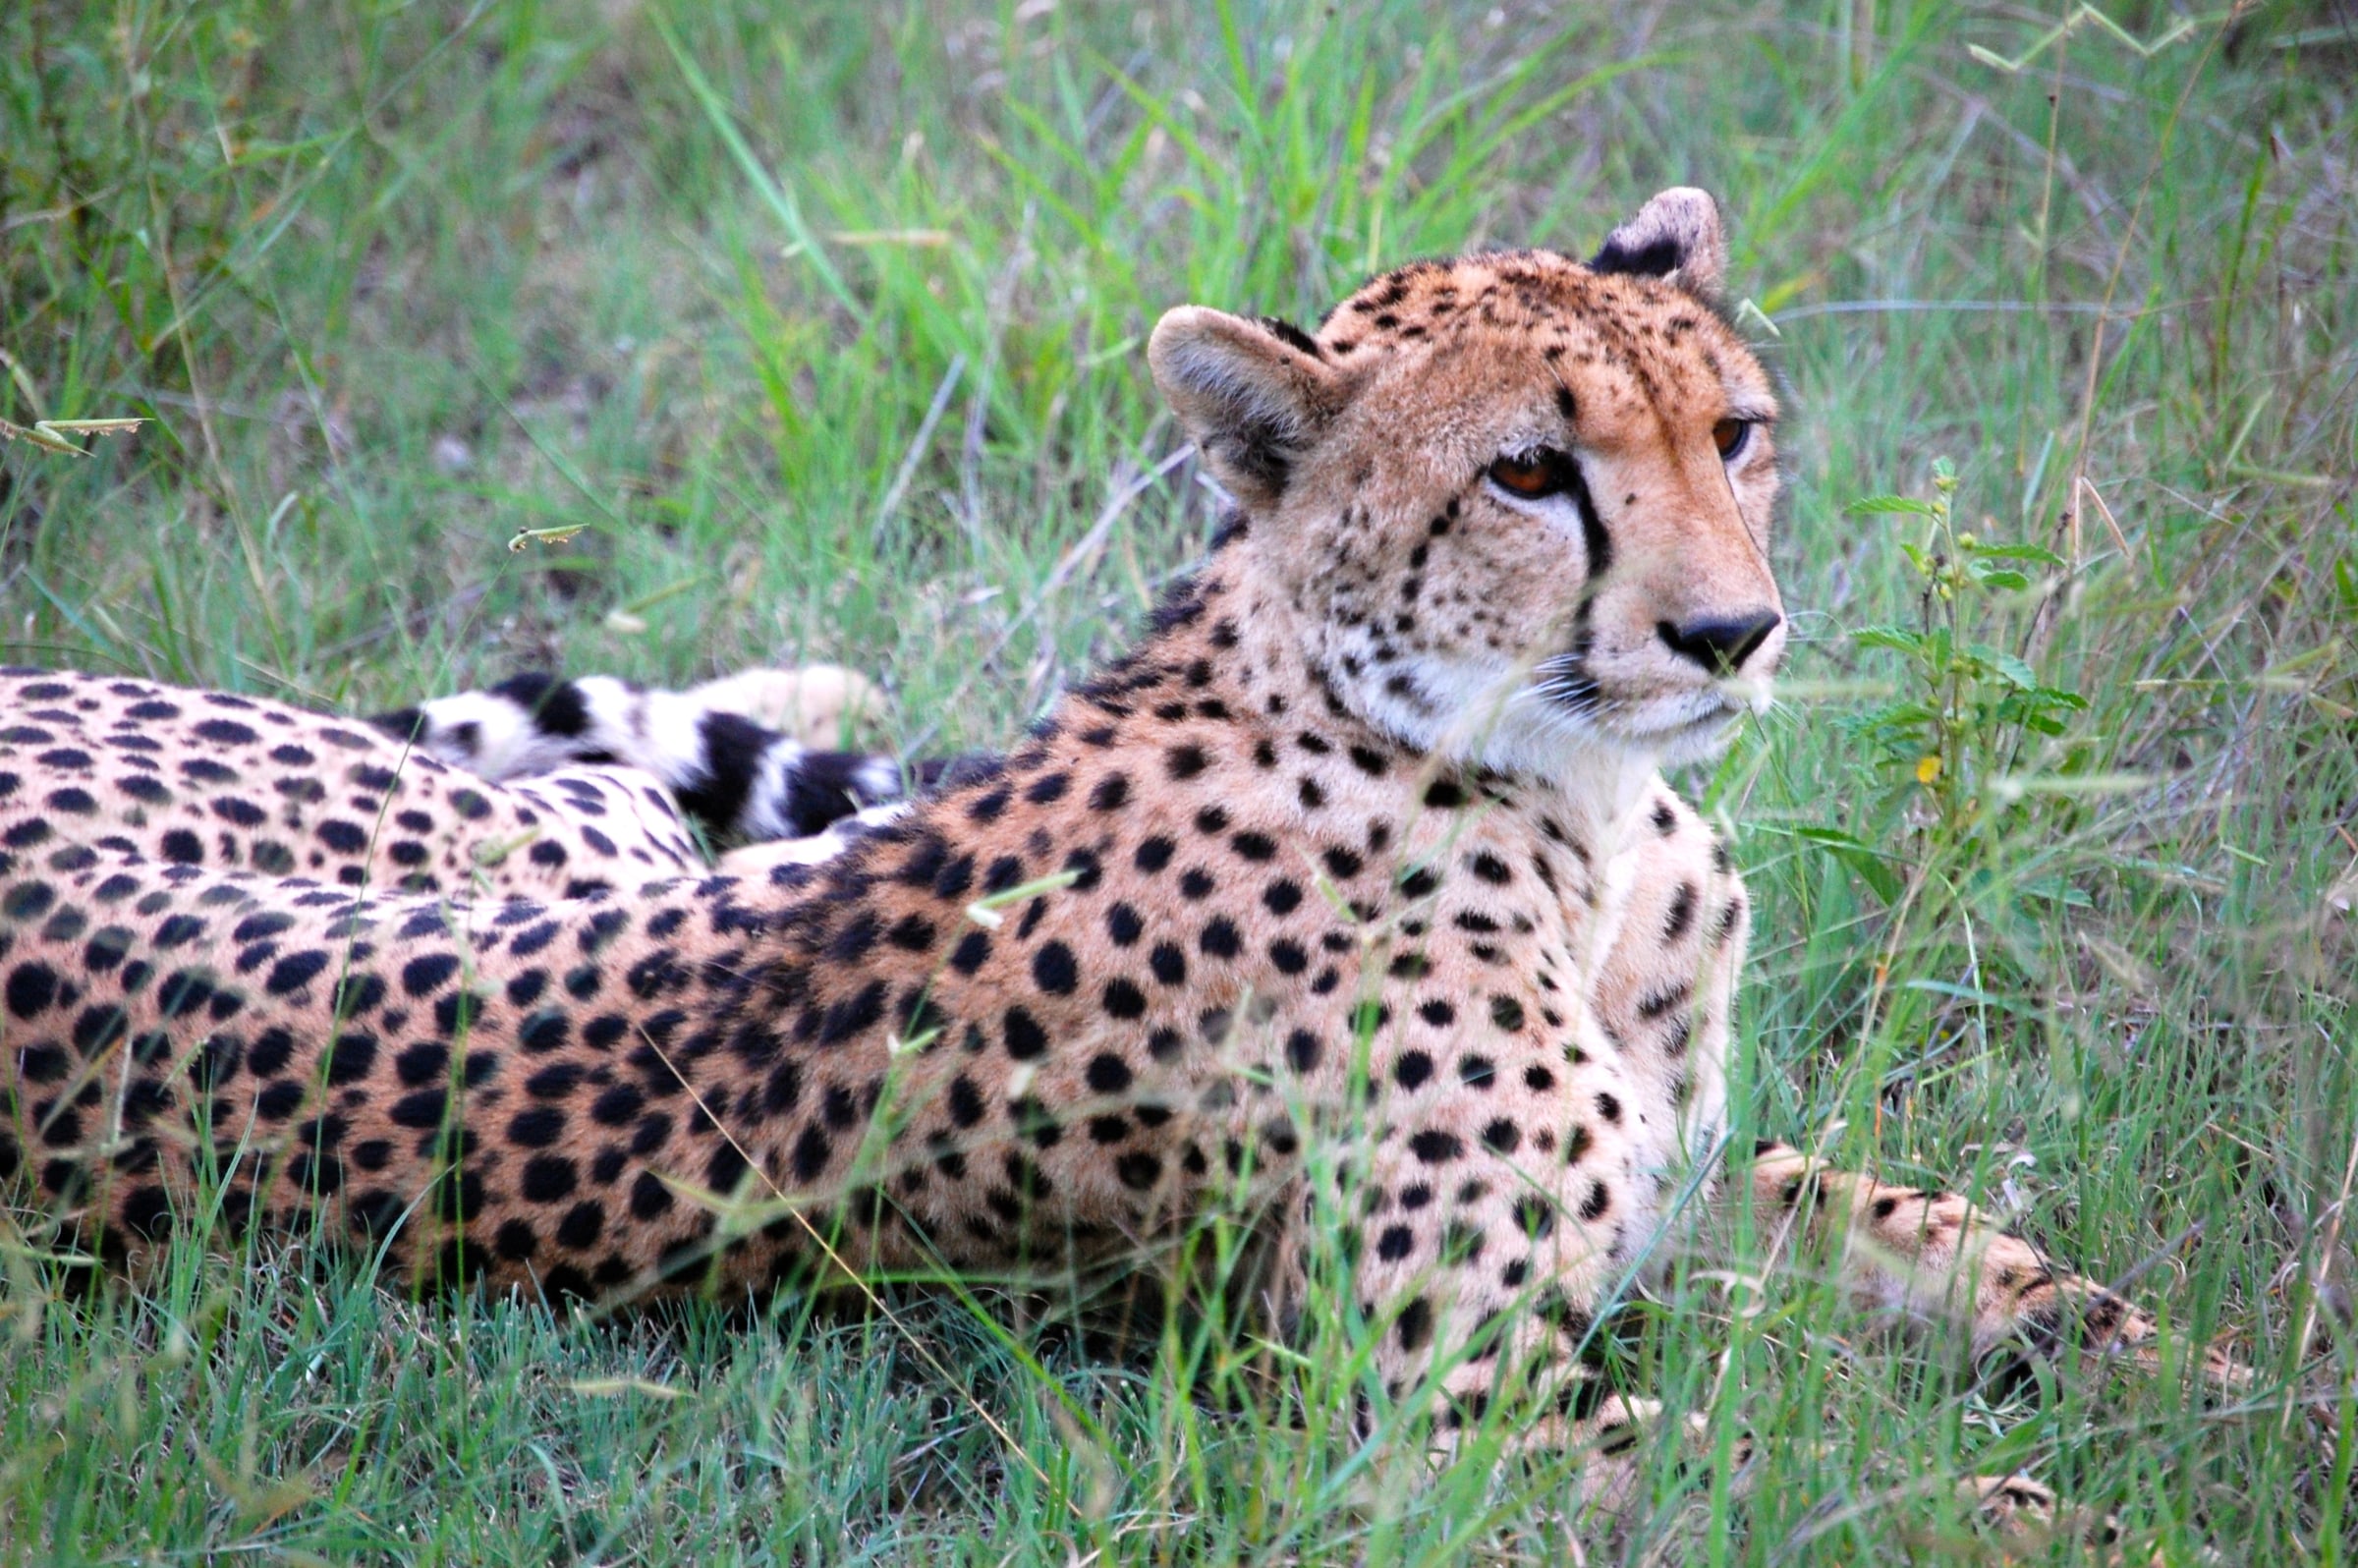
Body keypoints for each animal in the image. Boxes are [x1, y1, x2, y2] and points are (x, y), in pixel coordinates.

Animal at [0, 189, 2241, 1529]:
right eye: (1531, 473)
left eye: (1735, 435)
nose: (1730, 633)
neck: (1572, 805)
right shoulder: (1445, 1412)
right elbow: (1876, 1509)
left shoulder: (1679, 1202)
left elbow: (2001, 1262)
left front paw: (2239, 1396)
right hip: (542, 832)